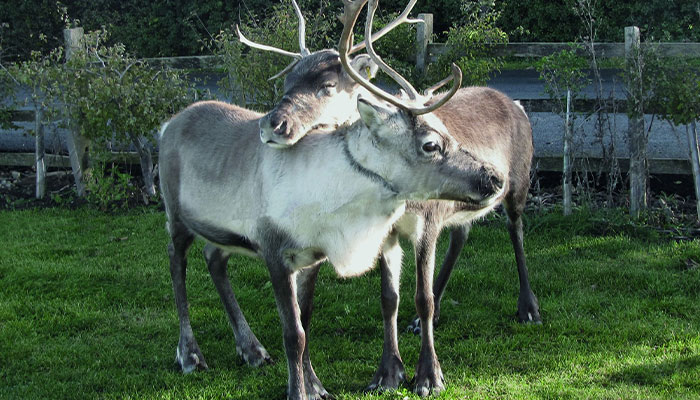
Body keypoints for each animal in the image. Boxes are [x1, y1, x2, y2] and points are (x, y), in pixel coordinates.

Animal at [158, 6, 508, 399]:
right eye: (430, 144)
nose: (495, 177)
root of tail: (167, 124)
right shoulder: (274, 252)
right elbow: (292, 333)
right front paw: (297, 390)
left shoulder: (312, 257)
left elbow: (306, 321)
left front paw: (315, 385)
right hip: (175, 217)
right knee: (176, 266)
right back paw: (189, 354)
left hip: (220, 231)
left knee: (214, 259)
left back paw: (252, 349)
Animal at [238, 0, 540, 395]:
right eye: (287, 81)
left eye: (327, 86)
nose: (272, 124)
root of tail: (515, 102)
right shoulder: (386, 232)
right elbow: (389, 298)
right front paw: (388, 372)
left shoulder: (427, 221)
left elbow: (421, 297)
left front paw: (428, 376)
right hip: (465, 206)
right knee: (462, 233)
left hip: (520, 182)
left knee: (516, 232)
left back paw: (528, 307)